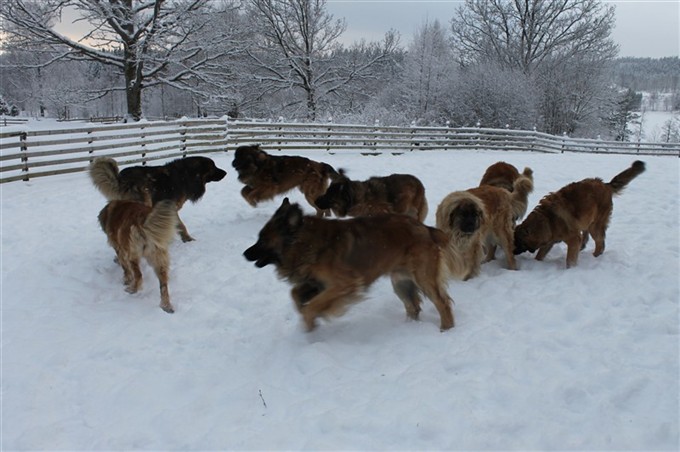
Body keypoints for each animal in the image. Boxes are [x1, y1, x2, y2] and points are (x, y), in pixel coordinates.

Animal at [89, 155, 227, 242]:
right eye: (213, 167)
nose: (225, 172)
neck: (187, 175)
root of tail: (121, 179)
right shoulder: (171, 207)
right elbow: (181, 225)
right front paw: (187, 239)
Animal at [242, 198, 454, 332]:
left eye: (262, 240)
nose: (245, 254)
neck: (304, 241)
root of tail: (425, 228)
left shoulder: (344, 284)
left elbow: (313, 306)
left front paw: (310, 323)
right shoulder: (317, 282)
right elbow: (295, 294)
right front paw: (306, 313)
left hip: (423, 277)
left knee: (442, 303)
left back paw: (446, 329)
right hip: (400, 281)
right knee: (413, 306)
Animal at [516, 162, 648, 268]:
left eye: (516, 242)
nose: (512, 252)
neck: (547, 219)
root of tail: (605, 184)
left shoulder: (572, 238)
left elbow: (570, 260)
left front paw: (570, 270)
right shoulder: (550, 239)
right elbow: (540, 254)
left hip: (595, 225)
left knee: (600, 244)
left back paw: (595, 257)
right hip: (587, 220)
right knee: (587, 237)